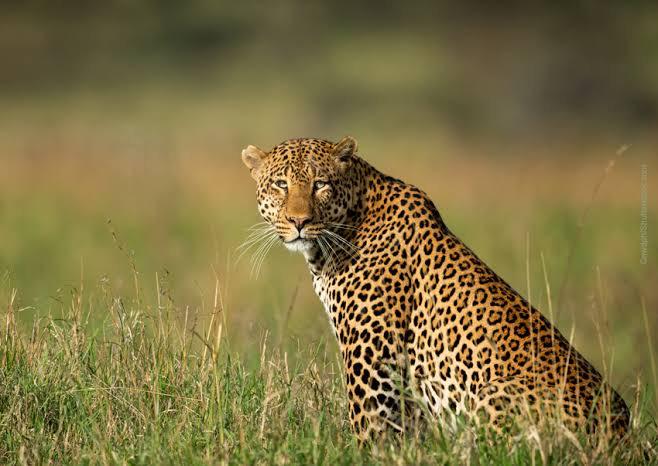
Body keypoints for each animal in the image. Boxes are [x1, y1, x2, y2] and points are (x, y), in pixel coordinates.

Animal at [240, 137, 624, 442]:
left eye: (320, 184)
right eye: (280, 184)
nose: (299, 221)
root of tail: (621, 433)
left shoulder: (374, 359)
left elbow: (369, 428)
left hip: (494, 395)